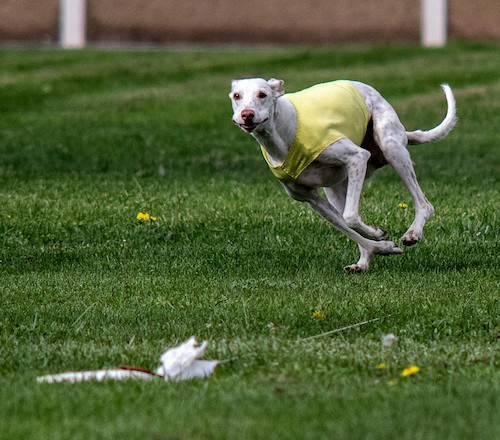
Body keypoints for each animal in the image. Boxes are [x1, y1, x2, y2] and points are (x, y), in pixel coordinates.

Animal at [229, 78, 456, 272]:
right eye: (236, 96)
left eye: (262, 94)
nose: (247, 114)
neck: (283, 134)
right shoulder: (310, 198)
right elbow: (347, 226)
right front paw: (382, 245)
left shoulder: (357, 158)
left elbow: (350, 218)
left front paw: (378, 234)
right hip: (336, 188)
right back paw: (363, 262)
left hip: (390, 147)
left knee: (424, 203)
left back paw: (413, 233)